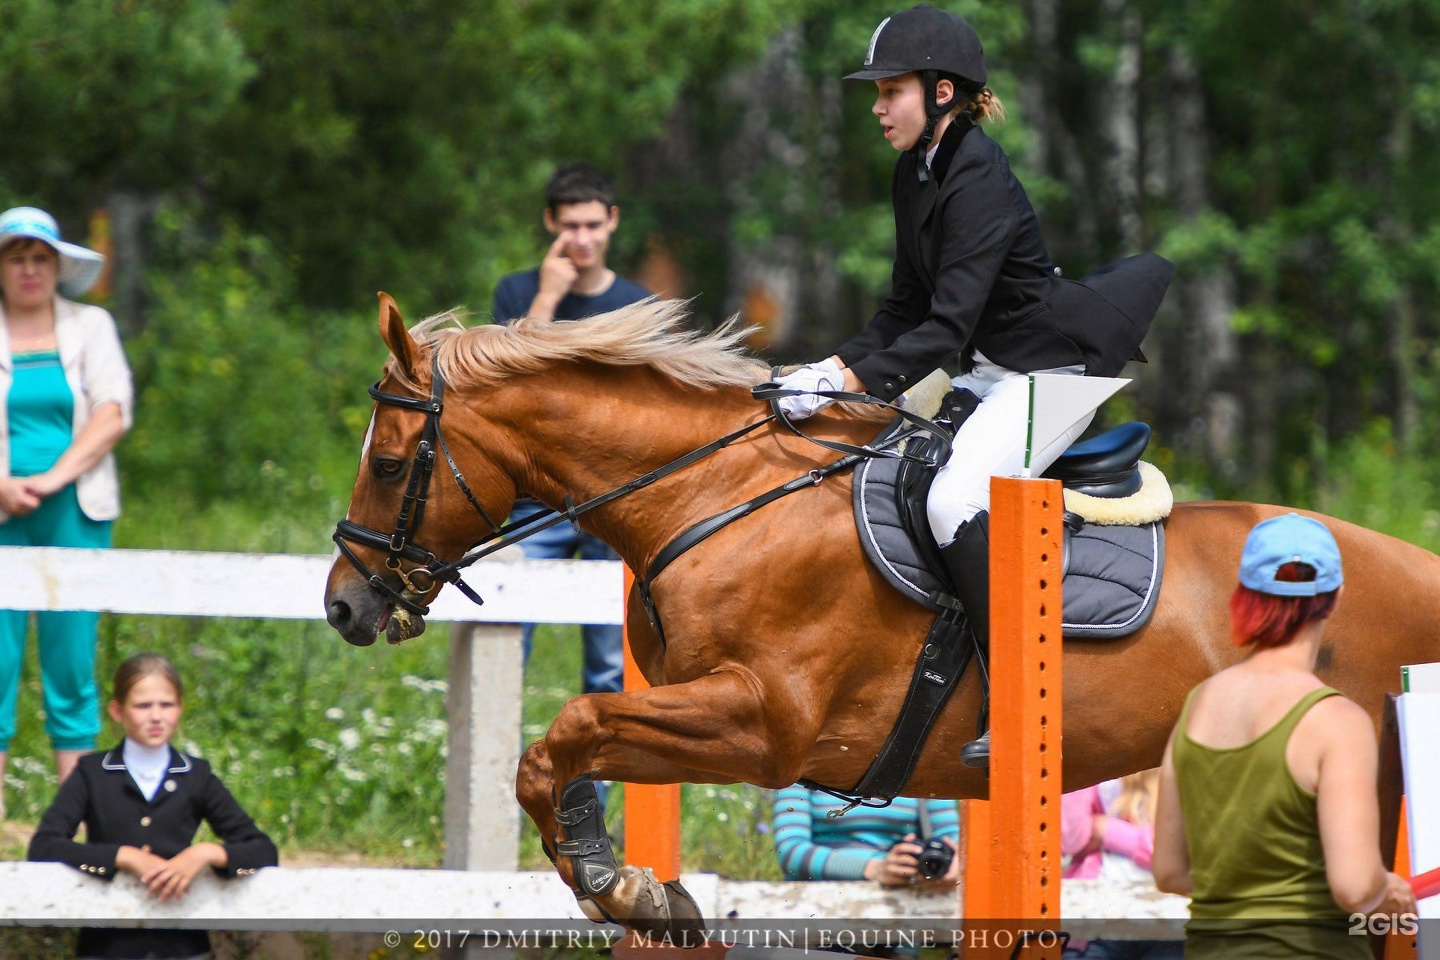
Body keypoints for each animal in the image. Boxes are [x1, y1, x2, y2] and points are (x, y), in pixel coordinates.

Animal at [326, 295, 1440, 938]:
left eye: (389, 461)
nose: (344, 603)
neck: (712, 497)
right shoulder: (705, 715)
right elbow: (559, 752)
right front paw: (640, 890)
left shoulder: (764, 724)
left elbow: (565, 732)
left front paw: (617, 886)